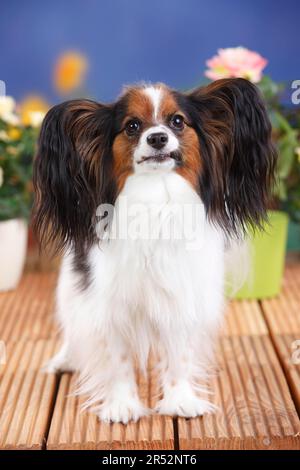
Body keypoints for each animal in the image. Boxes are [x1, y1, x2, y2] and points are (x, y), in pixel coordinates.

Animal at [33, 79, 276, 424]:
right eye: (132, 126)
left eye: (177, 121)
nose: (158, 137)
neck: (155, 196)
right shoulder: (108, 302)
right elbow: (118, 359)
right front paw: (122, 405)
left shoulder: (182, 296)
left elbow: (180, 357)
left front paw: (181, 401)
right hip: (71, 283)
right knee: (73, 323)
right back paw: (64, 359)